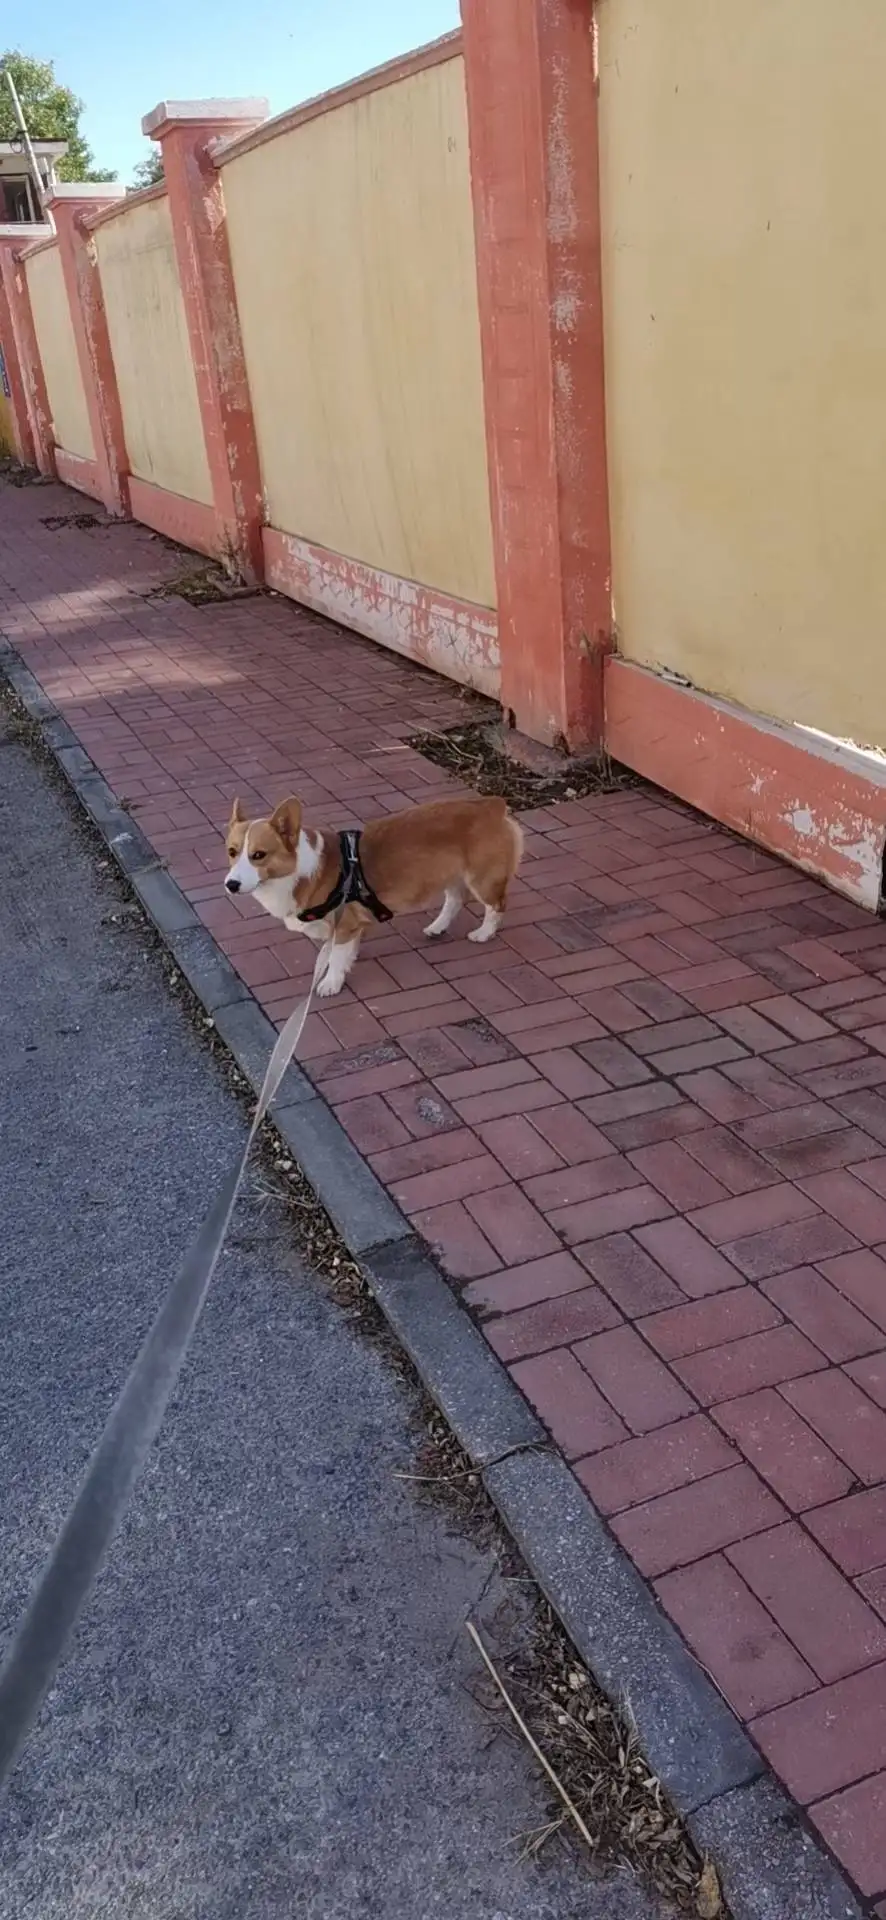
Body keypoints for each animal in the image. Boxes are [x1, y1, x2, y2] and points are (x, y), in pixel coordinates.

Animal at [224, 798, 522, 998]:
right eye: (231, 851)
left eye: (259, 855)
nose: (231, 885)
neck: (298, 872)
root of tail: (492, 805)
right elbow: (338, 951)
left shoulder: (344, 925)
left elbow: (337, 957)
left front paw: (330, 982)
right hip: (451, 877)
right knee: (455, 900)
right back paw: (437, 927)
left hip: (482, 880)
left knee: (497, 905)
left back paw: (483, 933)